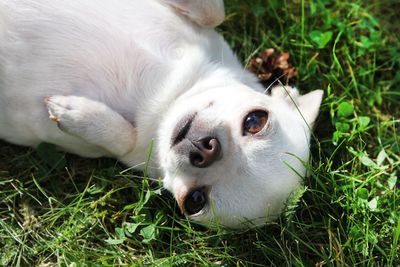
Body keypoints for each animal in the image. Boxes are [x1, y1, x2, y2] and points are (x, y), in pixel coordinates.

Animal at [0, 0, 322, 228]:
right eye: (256, 120)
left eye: (194, 201)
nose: (206, 151)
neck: (165, 102)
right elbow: (214, 13)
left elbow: (125, 140)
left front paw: (78, 115)